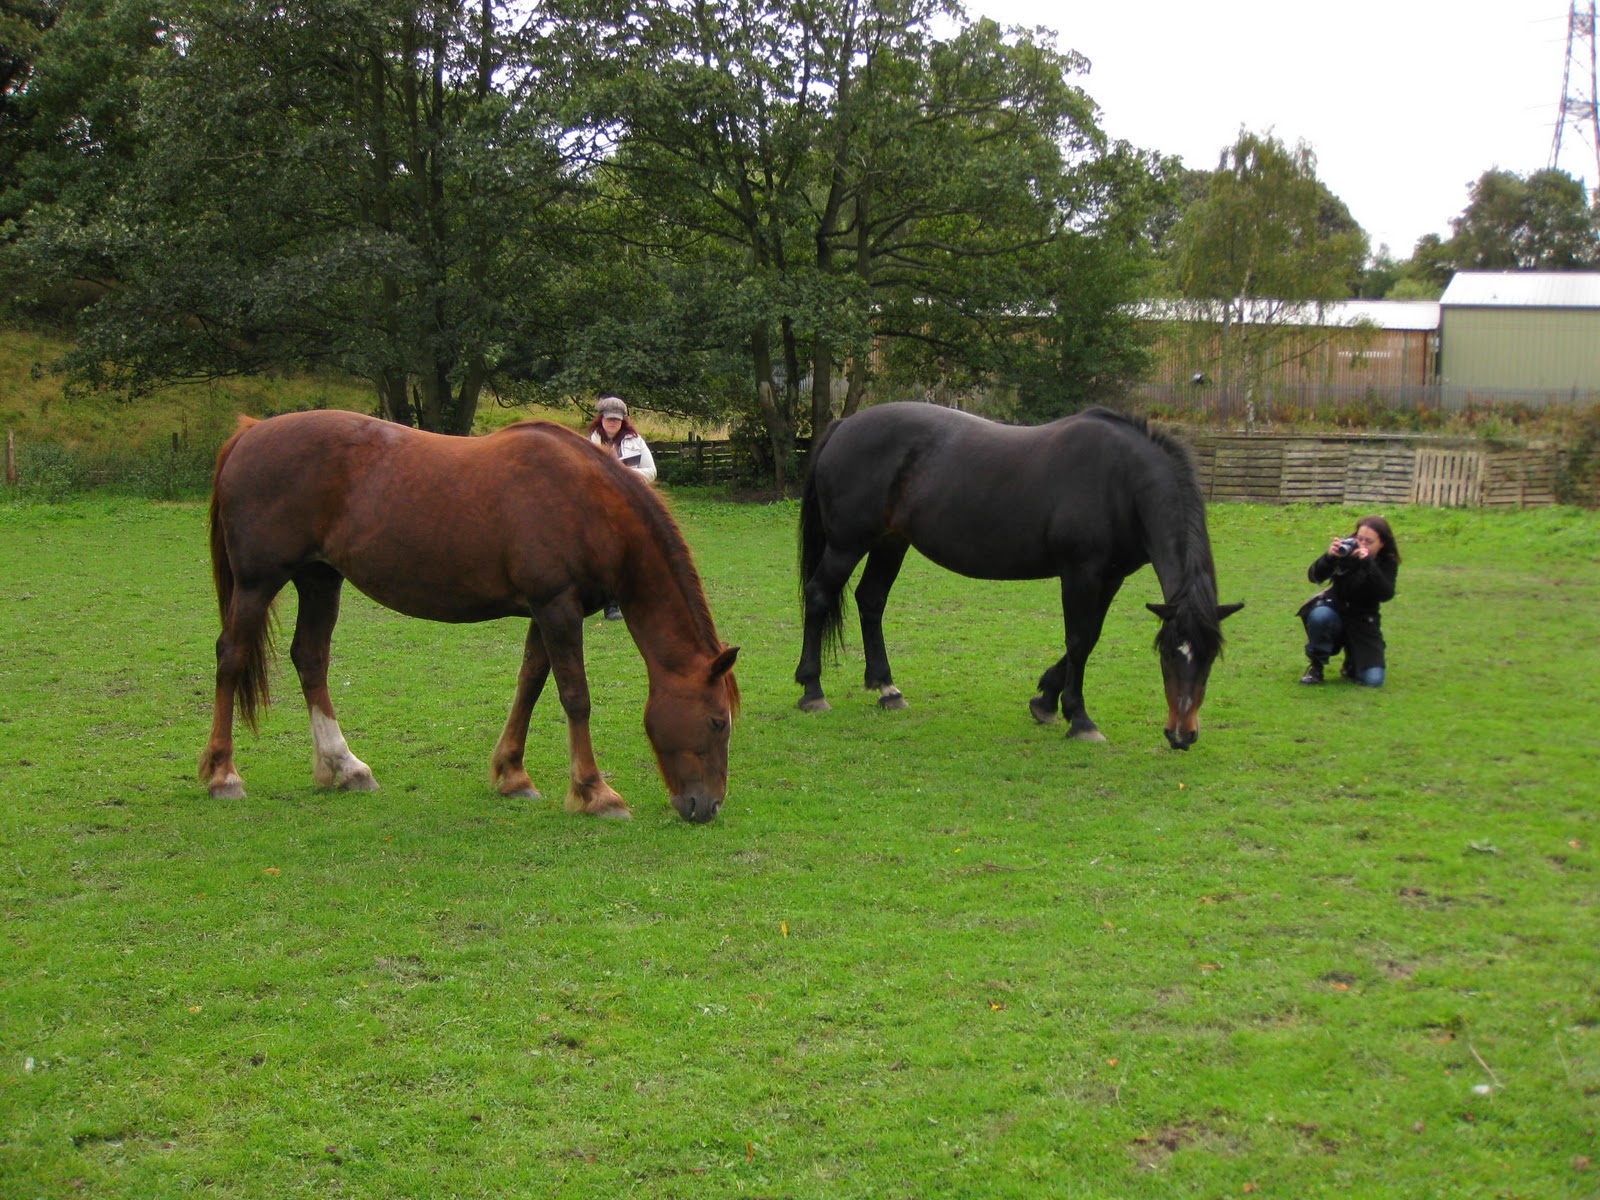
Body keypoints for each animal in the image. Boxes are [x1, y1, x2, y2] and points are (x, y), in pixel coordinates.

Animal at [201, 409, 742, 825]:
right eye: (718, 722)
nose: (709, 806)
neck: (590, 505)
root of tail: (250, 431)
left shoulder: (545, 611)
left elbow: (530, 683)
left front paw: (513, 774)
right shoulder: (558, 608)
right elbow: (575, 697)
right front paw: (594, 792)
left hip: (319, 579)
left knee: (310, 659)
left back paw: (345, 767)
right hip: (258, 583)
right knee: (231, 656)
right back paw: (223, 774)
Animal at [793, 404, 1241, 752]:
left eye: (1210, 658)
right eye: (1166, 654)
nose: (1182, 735)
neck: (1122, 482)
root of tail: (844, 425)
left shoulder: (1110, 578)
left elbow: (1090, 637)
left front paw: (1046, 699)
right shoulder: (1080, 573)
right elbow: (1079, 640)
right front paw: (1079, 719)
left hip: (890, 542)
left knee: (871, 601)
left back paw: (886, 688)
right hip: (847, 544)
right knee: (819, 596)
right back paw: (812, 691)